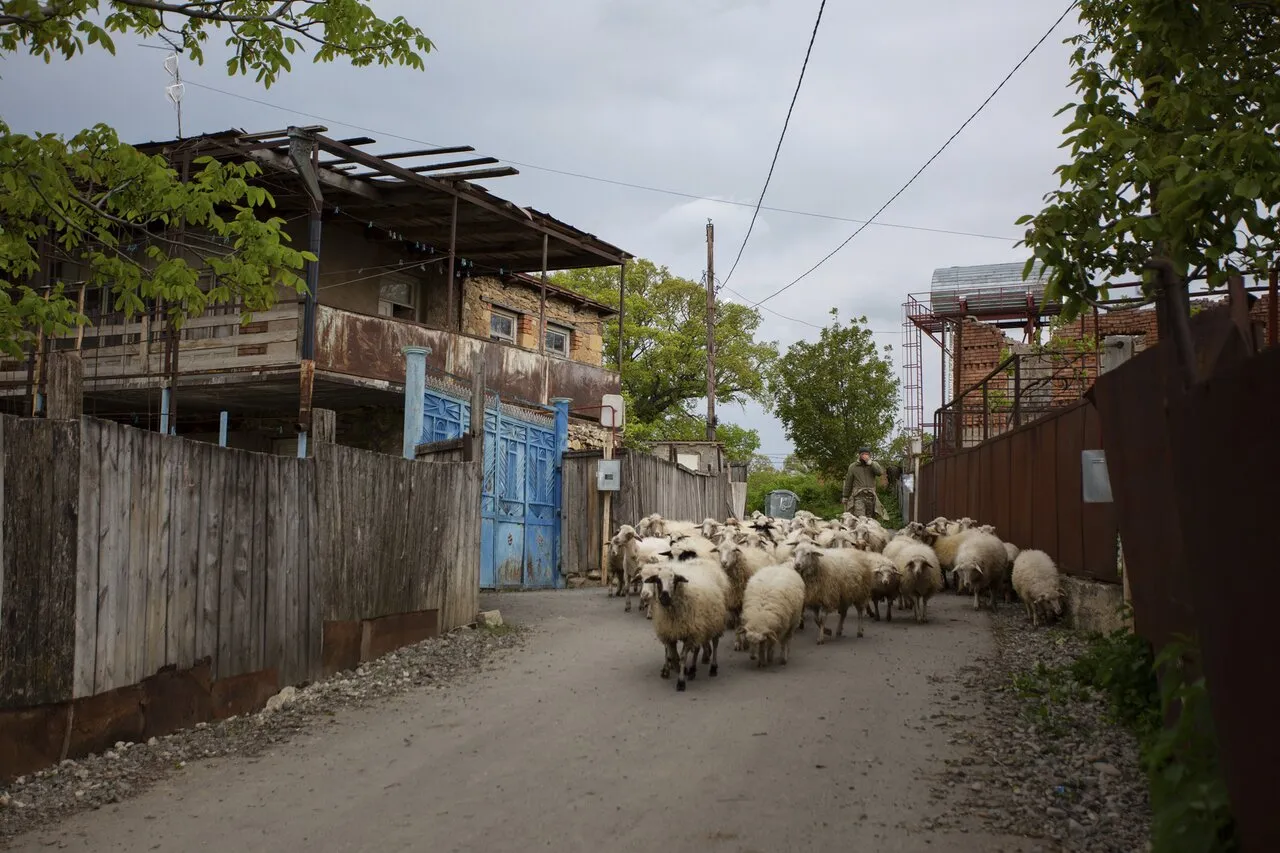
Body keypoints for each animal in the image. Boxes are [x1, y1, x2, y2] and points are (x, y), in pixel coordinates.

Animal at [650, 558, 732, 691]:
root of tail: (704, 560)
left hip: (716, 621)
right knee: (698, 647)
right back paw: (693, 669)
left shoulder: (690, 634)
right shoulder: (669, 632)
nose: (664, 597)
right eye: (658, 581)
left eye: (674, 580)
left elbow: (683, 657)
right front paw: (676, 669)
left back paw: (713, 667)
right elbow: (673, 655)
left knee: (715, 644)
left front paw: (681, 681)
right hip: (701, 626)